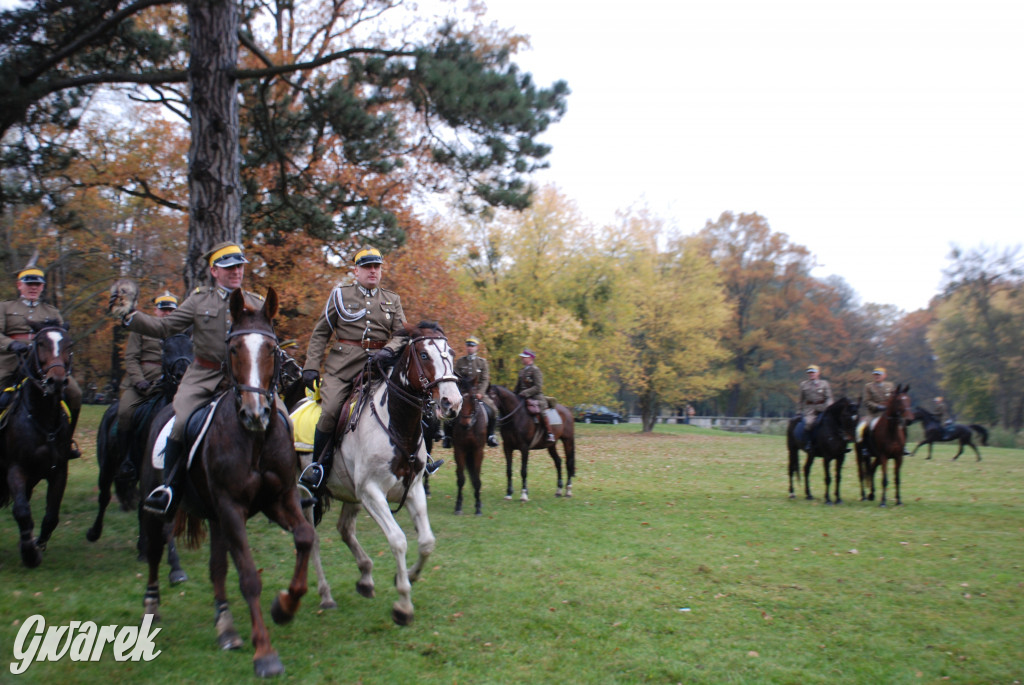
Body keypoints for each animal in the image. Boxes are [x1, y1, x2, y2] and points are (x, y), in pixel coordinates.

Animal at [0, 321, 73, 565]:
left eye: (69, 345)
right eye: (40, 343)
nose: (56, 381)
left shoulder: (59, 470)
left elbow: (51, 515)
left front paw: (36, 544)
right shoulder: (15, 469)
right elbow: (22, 511)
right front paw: (29, 553)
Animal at [138, 286, 311, 675]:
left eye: (271, 348)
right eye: (234, 348)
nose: (255, 413)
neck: (255, 440)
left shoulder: (279, 500)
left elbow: (305, 538)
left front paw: (284, 607)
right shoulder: (232, 508)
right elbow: (248, 576)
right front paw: (265, 653)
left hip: (217, 518)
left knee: (216, 569)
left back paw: (227, 628)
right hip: (158, 507)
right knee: (155, 551)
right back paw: (152, 608)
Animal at [454, 378, 489, 511]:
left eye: (473, 397)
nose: (464, 424)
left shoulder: (478, 450)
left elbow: (476, 477)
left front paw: (478, 505)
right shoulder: (459, 450)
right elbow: (461, 478)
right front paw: (458, 505)